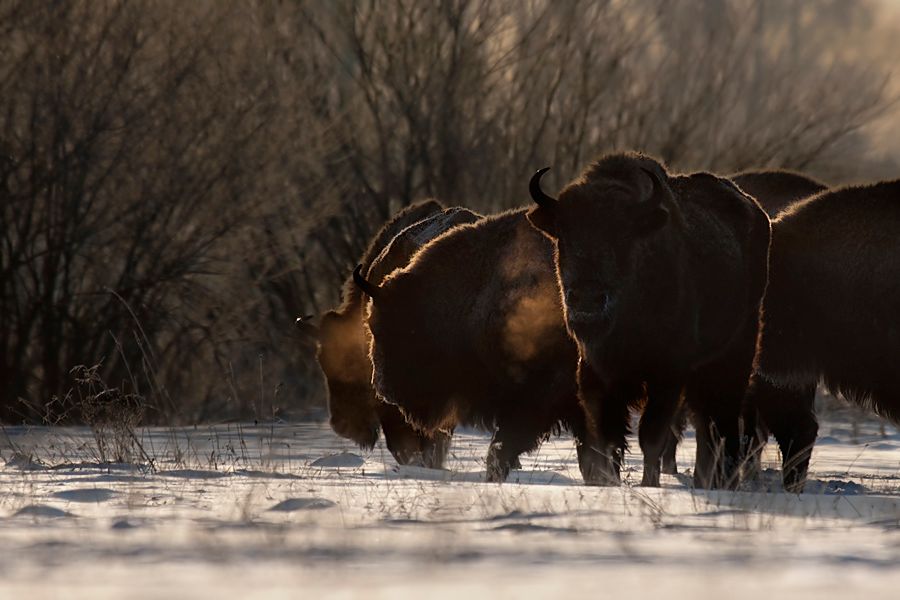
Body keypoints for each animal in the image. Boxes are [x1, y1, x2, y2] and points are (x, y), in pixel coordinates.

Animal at [528, 154, 772, 488]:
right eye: (563, 235)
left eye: (623, 235)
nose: (587, 301)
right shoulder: (596, 372)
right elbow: (607, 436)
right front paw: (609, 481)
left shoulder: (667, 374)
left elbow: (652, 435)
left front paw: (649, 483)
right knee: (706, 422)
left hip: (735, 352)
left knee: (719, 417)